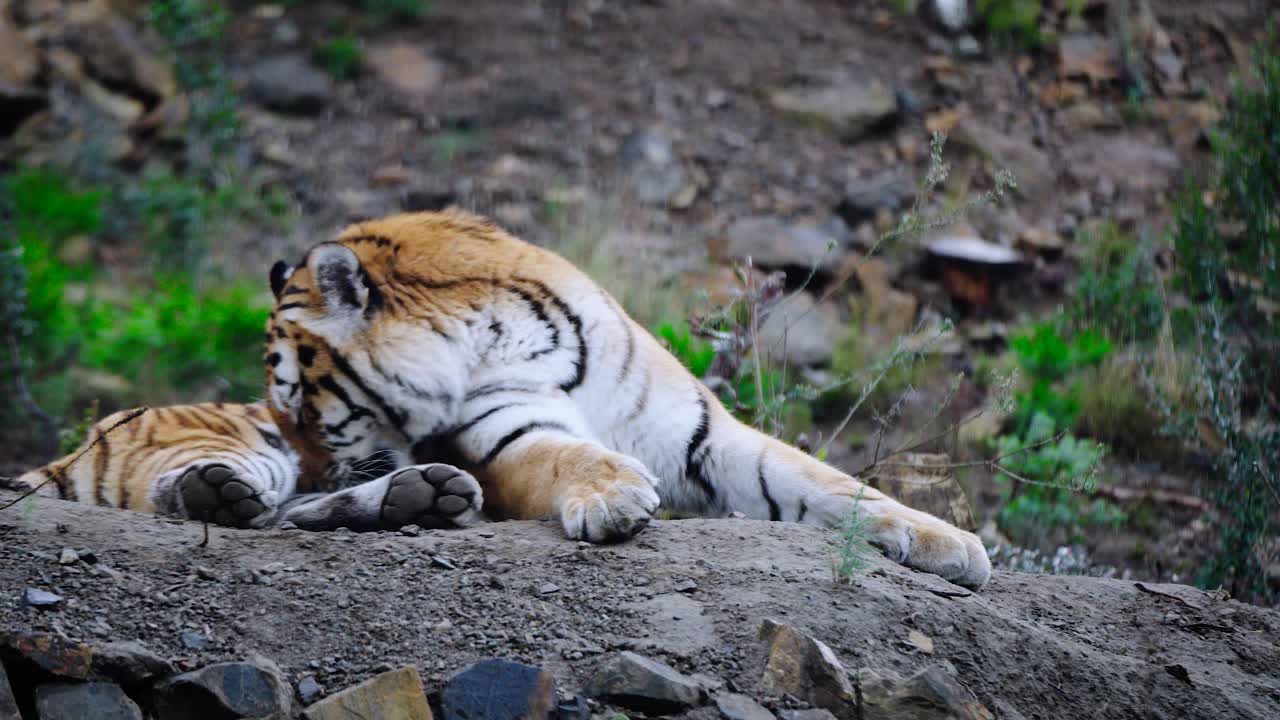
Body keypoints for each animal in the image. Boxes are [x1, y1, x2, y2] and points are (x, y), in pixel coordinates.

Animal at [259, 209, 992, 589]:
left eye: (303, 410)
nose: (306, 470)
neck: (487, 326)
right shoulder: (507, 434)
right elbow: (567, 455)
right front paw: (613, 497)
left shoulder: (701, 432)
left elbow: (824, 479)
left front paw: (949, 541)